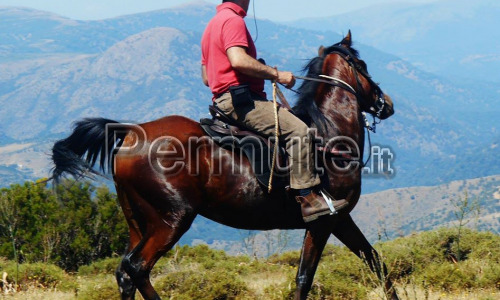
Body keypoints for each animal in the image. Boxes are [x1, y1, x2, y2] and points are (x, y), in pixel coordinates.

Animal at [50, 32, 398, 300]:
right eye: (362, 66)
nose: (387, 104)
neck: (328, 135)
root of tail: (132, 132)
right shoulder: (325, 221)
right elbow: (305, 277)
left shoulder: (340, 219)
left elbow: (376, 262)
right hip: (171, 220)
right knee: (137, 268)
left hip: (139, 222)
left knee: (125, 273)